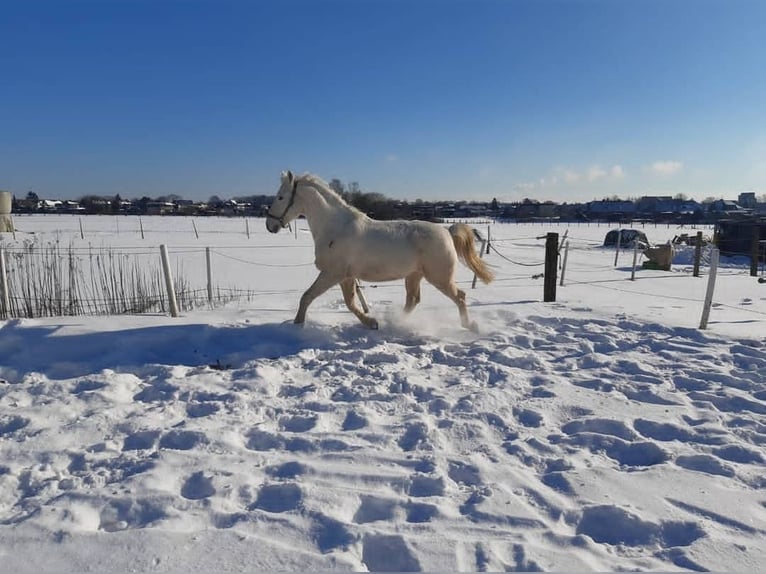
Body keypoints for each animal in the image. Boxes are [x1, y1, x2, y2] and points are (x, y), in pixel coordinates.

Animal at [268, 171, 498, 330]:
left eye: (280, 197)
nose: (270, 225)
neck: (336, 228)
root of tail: (447, 232)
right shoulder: (345, 276)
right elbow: (350, 303)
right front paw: (372, 323)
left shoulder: (332, 273)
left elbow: (307, 297)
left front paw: (297, 325)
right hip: (414, 275)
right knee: (413, 300)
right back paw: (396, 322)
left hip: (439, 277)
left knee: (460, 296)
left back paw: (470, 326)